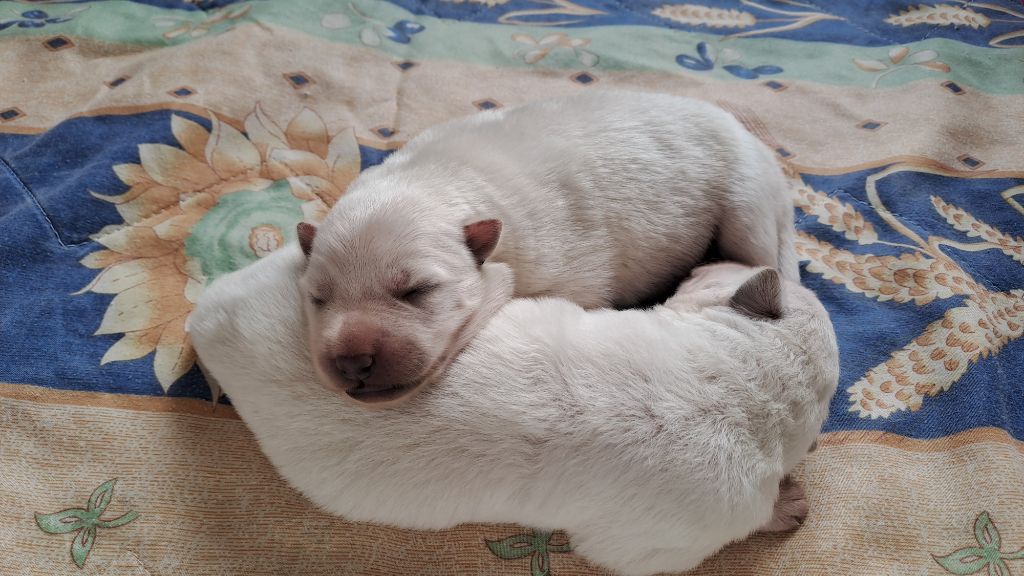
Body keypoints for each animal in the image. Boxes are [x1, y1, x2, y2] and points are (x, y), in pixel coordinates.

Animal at [190, 247, 839, 573]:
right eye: (712, 271)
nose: (702, 261)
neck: (744, 380)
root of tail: (205, 310)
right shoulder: (648, 549)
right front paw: (789, 505)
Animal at [296, 90, 798, 403]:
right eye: (317, 298)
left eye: (416, 290)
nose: (352, 363)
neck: (440, 182)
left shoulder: (573, 272)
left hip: (746, 205)